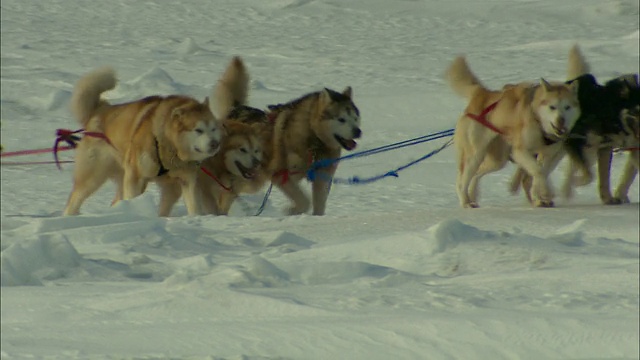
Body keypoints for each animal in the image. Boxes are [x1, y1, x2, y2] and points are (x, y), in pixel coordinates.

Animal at [62, 66, 222, 215]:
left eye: (214, 129)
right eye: (198, 130)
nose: (215, 144)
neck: (166, 143)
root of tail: (100, 109)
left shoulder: (187, 180)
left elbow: (193, 207)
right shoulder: (136, 177)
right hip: (94, 176)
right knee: (75, 200)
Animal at [444, 55, 580, 208]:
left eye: (567, 107)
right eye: (552, 107)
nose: (561, 120)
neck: (538, 122)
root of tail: (482, 93)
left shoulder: (548, 155)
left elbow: (540, 174)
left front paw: (540, 196)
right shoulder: (520, 152)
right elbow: (538, 172)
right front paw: (544, 193)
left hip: (497, 160)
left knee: (477, 174)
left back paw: (472, 196)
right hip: (475, 155)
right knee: (461, 181)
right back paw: (465, 202)